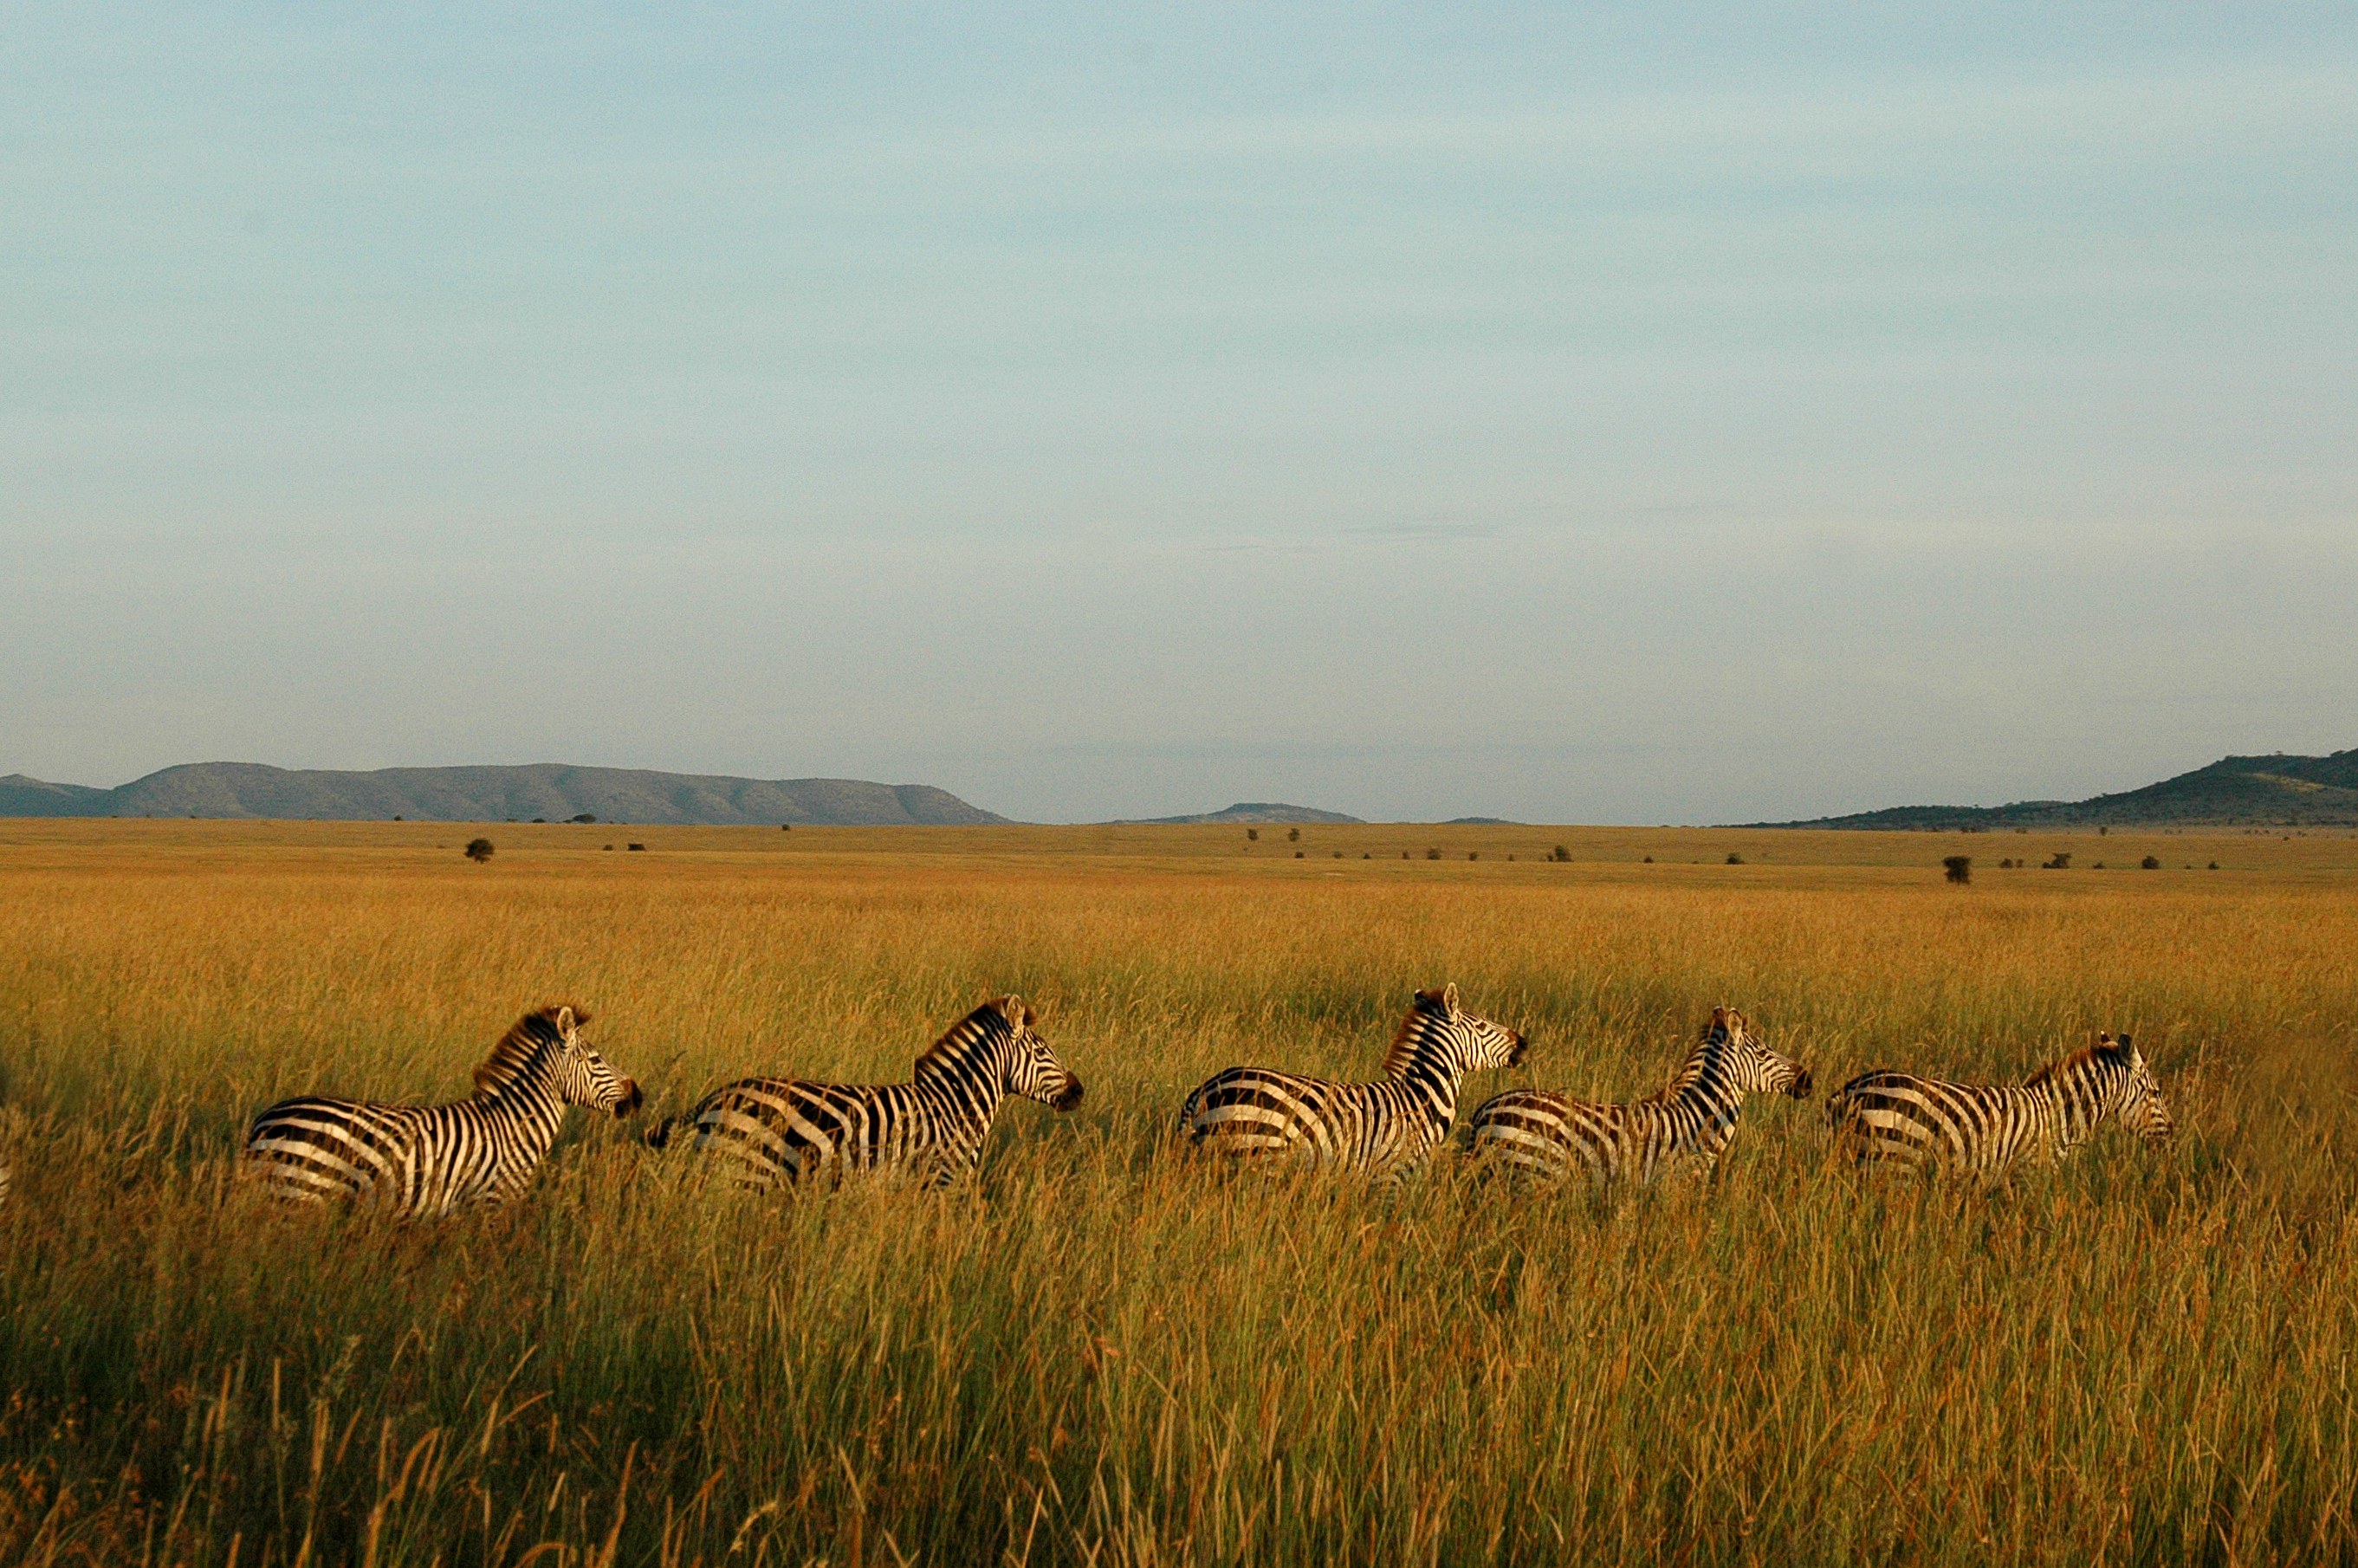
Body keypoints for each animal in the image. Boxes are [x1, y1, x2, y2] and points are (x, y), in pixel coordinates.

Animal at [241, 1004, 642, 1216]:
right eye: (596, 1059)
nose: (637, 1096)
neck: (515, 1125)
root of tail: (264, 1121)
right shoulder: (492, 1203)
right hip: (298, 1195)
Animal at [648, 995, 1083, 1189]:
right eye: (1042, 1051)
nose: (1079, 1090)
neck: (955, 1107)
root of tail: (710, 1101)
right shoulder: (940, 1180)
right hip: (744, 1173)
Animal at [1178, 984, 1527, 1179]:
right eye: (1482, 1026)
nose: (1523, 1042)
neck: (1418, 1099)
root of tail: (1203, 1091)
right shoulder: (1393, 1176)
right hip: (1255, 1154)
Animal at [1466, 1006, 1811, 1184]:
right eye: (1765, 1053)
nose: (1808, 1079)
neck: (1698, 1118)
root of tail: (1485, 1110)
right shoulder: (1678, 1184)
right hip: (1529, 1173)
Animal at [1824, 1032, 2174, 1176]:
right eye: (2155, 1093)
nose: (2172, 1132)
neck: (2060, 1116)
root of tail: (1851, 1090)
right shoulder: (2029, 1176)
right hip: (1894, 1162)